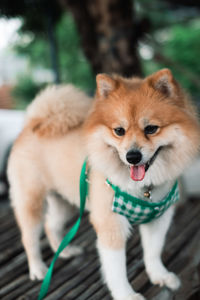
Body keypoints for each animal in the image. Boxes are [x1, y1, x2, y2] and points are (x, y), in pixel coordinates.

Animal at [7, 68, 200, 300]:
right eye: (119, 131)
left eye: (151, 129)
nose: (132, 156)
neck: (143, 189)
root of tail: (32, 124)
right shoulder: (111, 224)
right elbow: (116, 270)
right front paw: (126, 295)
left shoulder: (158, 219)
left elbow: (153, 253)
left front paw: (159, 275)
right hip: (31, 202)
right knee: (30, 238)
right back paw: (38, 269)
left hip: (66, 202)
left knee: (51, 225)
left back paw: (66, 251)